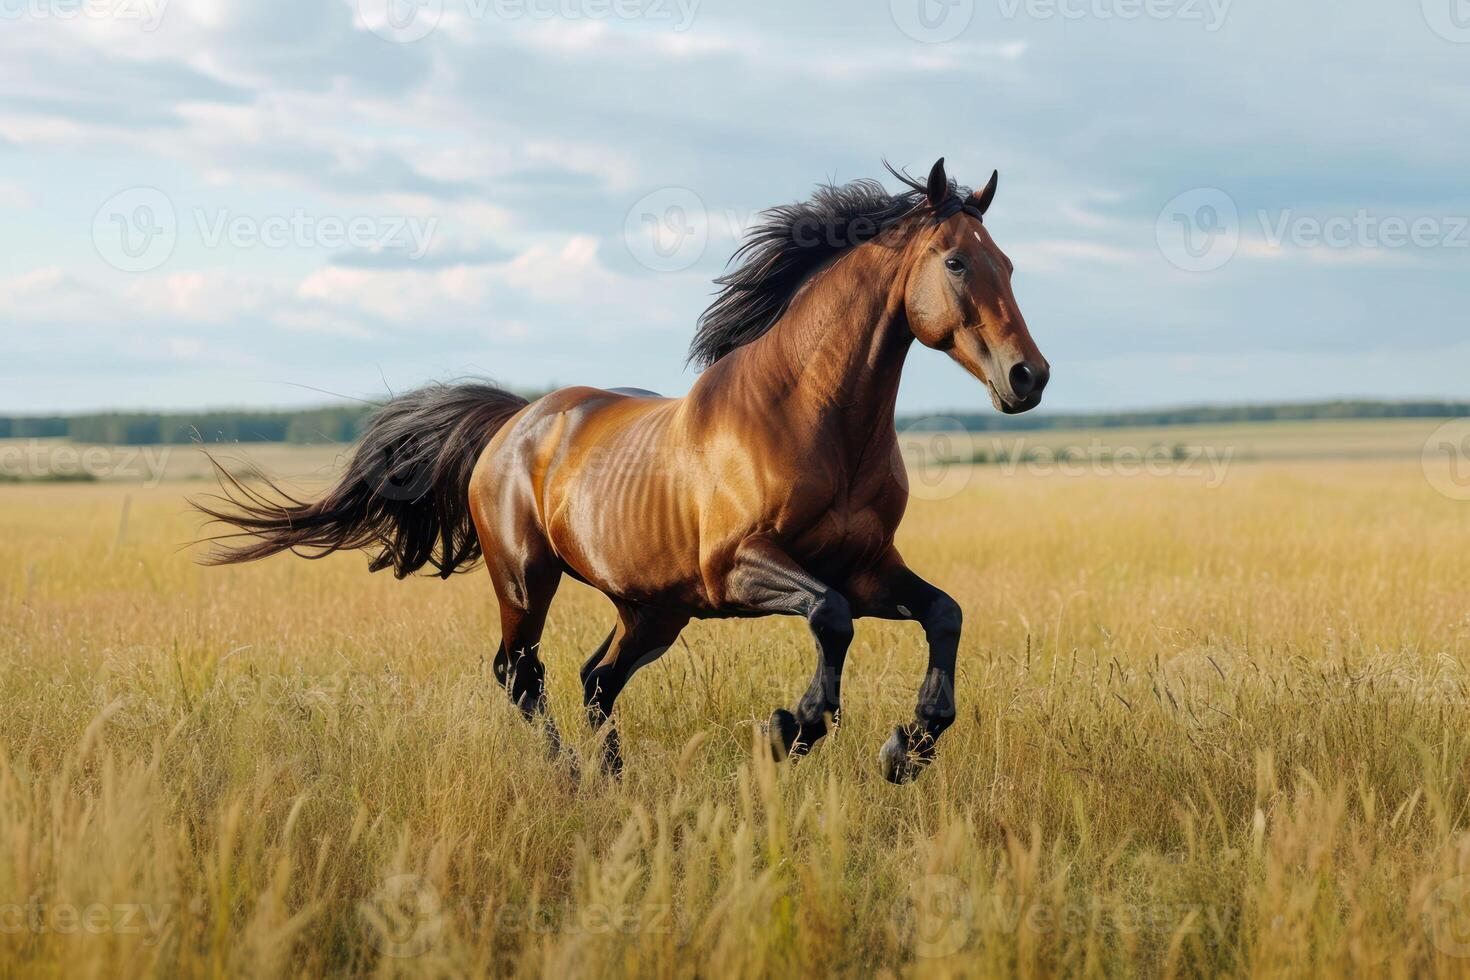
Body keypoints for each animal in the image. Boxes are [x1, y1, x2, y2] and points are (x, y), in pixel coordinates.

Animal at [198, 157, 1046, 787]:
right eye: (957, 261)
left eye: (1008, 263)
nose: (1028, 376)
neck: (812, 419)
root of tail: (514, 423)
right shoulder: (741, 566)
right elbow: (830, 618)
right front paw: (789, 730)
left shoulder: (868, 566)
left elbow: (943, 615)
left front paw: (909, 746)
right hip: (527, 579)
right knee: (521, 674)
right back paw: (574, 775)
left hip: (654, 609)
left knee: (595, 680)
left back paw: (614, 777)